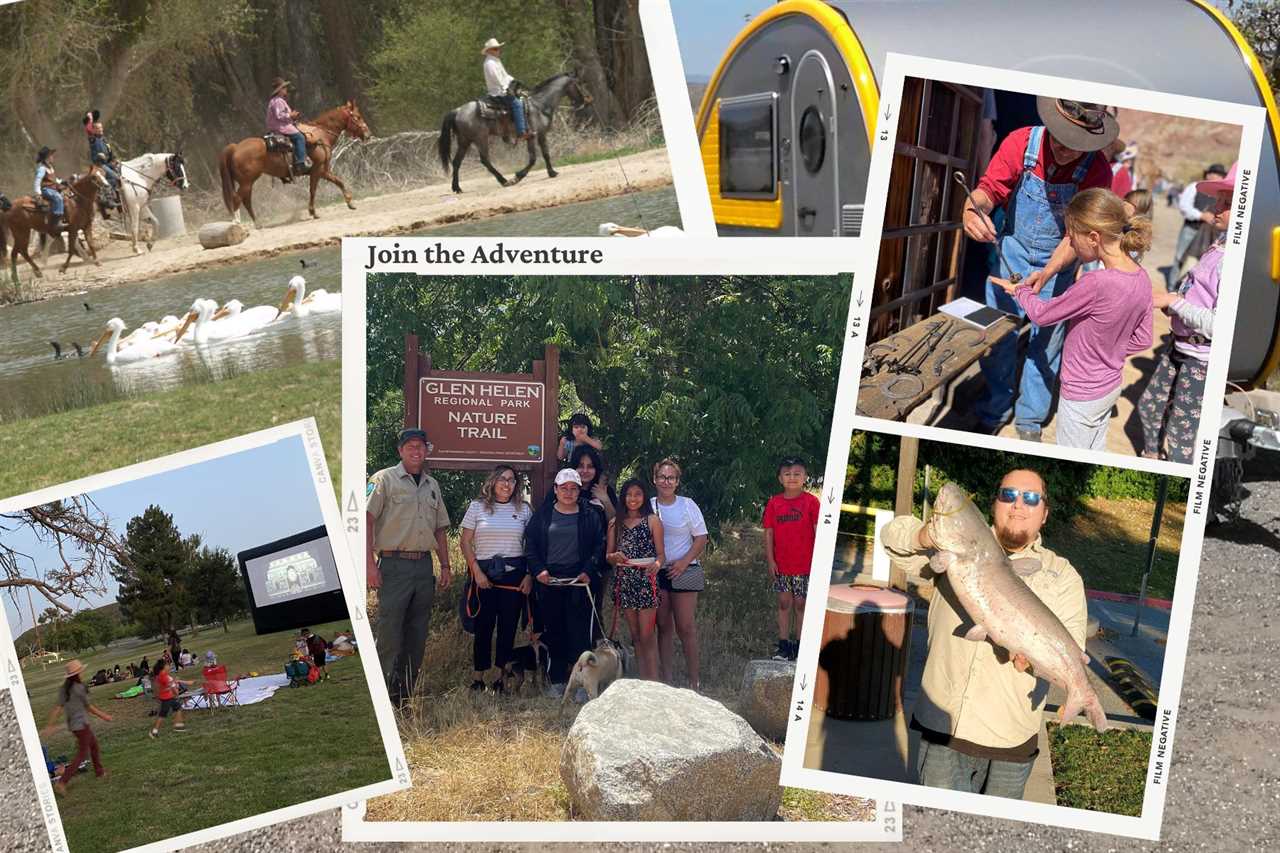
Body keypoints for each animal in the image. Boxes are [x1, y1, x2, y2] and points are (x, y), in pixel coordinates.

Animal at [218, 100, 371, 222]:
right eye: (357, 117)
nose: (368, 134)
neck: (320, 135)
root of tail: (235, 147)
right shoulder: (317, 170)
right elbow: (313, 190)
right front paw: (313, 212)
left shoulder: (323, 170)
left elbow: (339, 182)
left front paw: (350, 203)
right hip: (247, 182)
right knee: (237, 199)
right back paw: (237, 223)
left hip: (247, 183)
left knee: (246, 201)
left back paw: (257, 223)